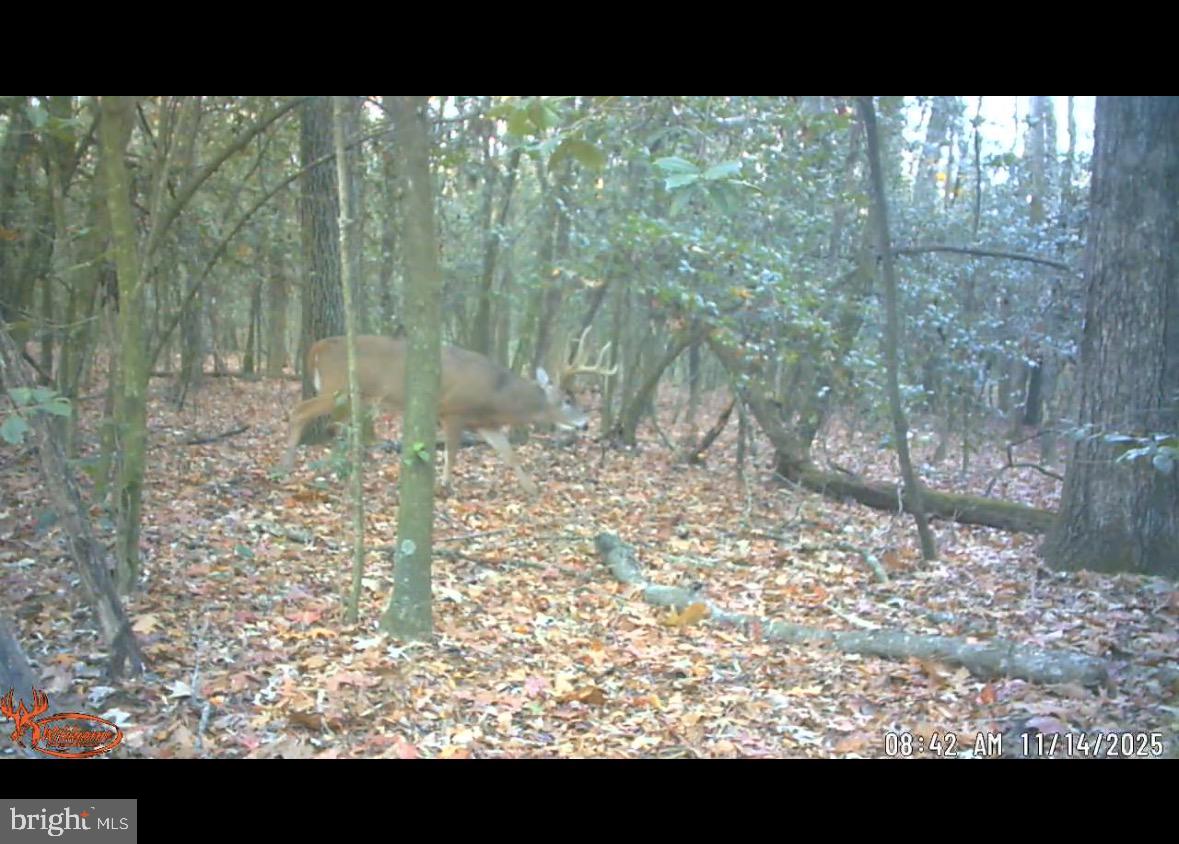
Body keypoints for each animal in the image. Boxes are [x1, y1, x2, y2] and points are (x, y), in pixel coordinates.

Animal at [278, 329, 617, 496]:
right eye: (568, 400)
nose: (586, 424)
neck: (496, 395)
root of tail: (317, 347)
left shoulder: (485, 424)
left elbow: (510, 455)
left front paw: (532, 489)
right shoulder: (453, 410)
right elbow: (452, 451)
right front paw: (445, 485)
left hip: (352, 396)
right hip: (337, 387)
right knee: (299, 410)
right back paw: (286, 467)